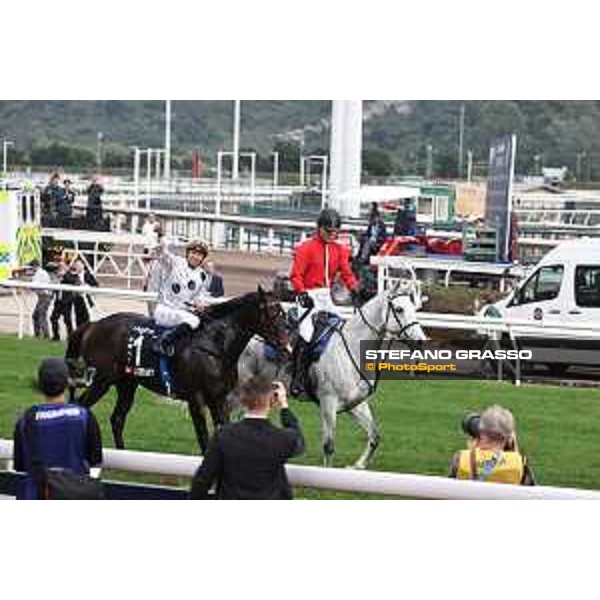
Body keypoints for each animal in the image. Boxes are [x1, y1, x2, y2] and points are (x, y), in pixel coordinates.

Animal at [66, 288, 290, 452]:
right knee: (80, 406)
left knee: (117, 418)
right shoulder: (196, 399)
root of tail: (93, 325)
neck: (215, 346)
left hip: (127, 383)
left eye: (283, 312)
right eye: (271, 313)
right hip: (101, 380)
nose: (286, 345)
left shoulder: (219, 399)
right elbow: (203, 437)